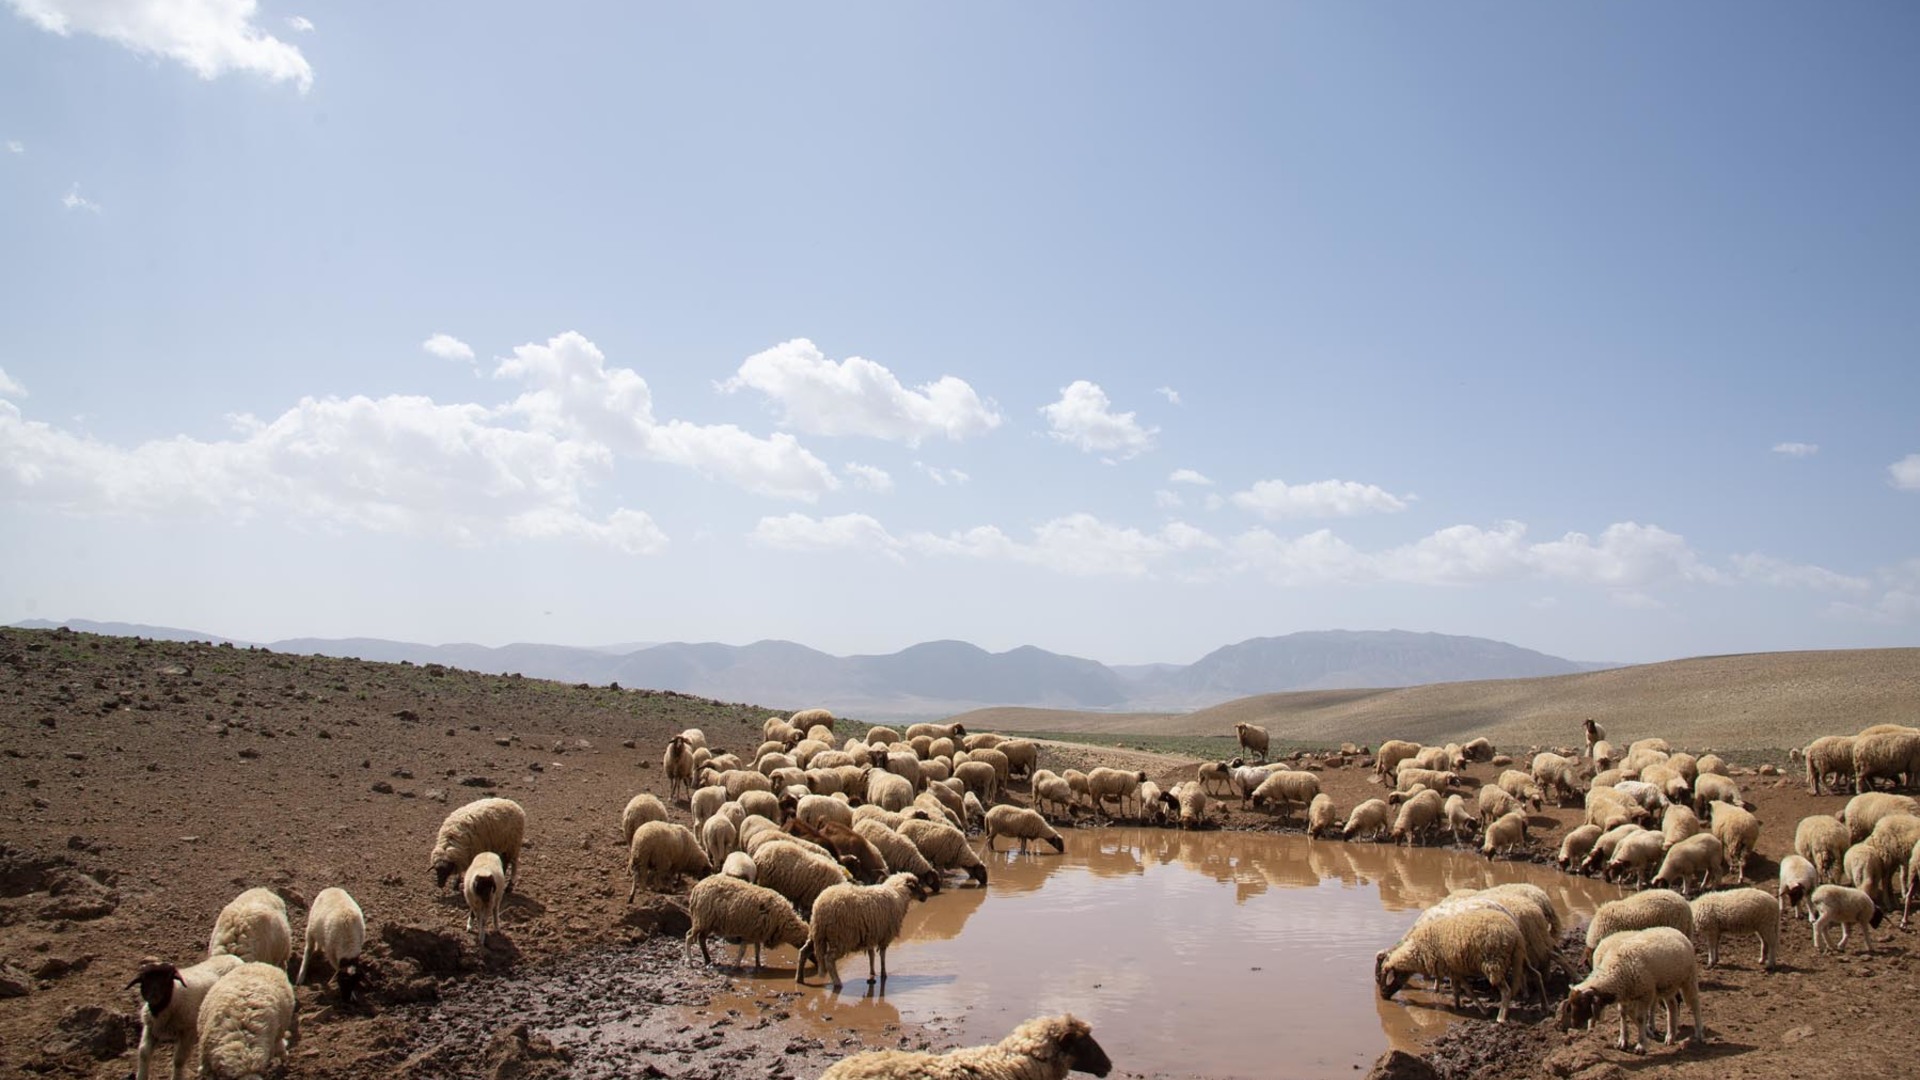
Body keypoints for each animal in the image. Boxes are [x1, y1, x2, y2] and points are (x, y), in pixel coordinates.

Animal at [798, 868, 933, 991]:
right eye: (917, 885)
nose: (925, 897)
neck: (898, 894)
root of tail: (819, 908)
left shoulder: (871, 934)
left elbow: (871, 955)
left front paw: (872, 973)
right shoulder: (885, 935)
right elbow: (882, 956)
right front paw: (883, 974)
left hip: (816, 934)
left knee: (803, 951)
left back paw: (799, 979)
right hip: (842, 938)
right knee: (829, 959)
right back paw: (837, 983)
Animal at [1551, 926, 1704, 1053]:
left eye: (1583, 1003)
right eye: (1571, 1005)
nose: (1574, 1024)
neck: (1615, 970)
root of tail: (1675, 930)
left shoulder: (1645, 994)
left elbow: (1640, 1018)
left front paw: (1641, 1044)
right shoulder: (1625, 995)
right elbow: (1623, 1014)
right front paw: (1623, 1041)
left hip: (1689, 978)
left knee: (1695, 1003)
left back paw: (1698, 1034)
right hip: (1667, 985)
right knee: (1672, 1006)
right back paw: (1670, 1036)